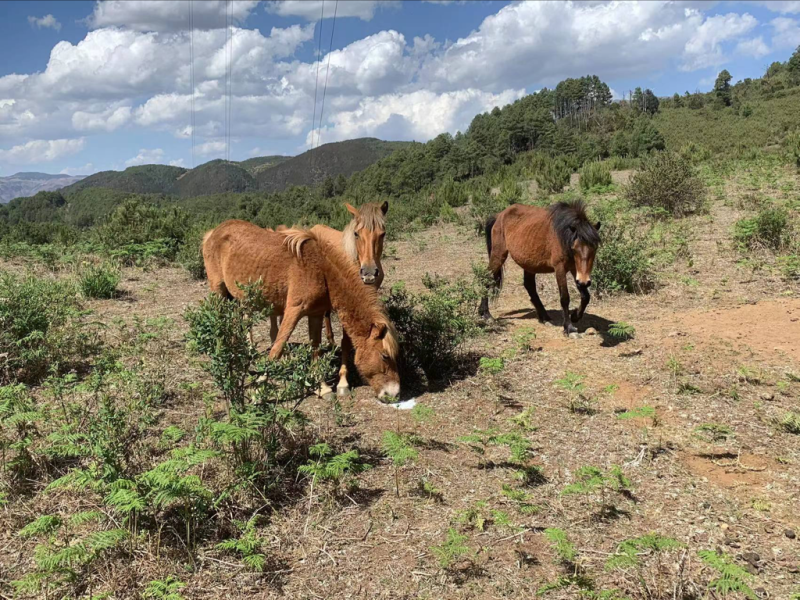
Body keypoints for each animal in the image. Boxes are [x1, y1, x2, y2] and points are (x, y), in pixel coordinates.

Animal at [478, 201, 601, 335]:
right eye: (574, 248)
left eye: (594, 248)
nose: (584, 281)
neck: (563, 235)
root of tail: (499, 215)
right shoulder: (560, 268)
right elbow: (565, 298)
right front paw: (568, 327)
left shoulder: (575, 270)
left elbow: (586, 296)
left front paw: (575, 316)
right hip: (499, 255)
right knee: (486, 279)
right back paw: (486, 314)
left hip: (528, 263)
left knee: (529, 286)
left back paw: (544, 316)